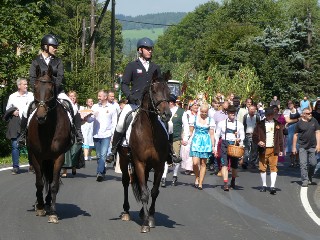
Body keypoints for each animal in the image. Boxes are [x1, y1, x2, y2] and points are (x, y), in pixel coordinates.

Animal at [27, 65, 71, 223]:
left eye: (51, 88)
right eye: (35, 87)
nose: (40, 116)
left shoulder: (58, 157)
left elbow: (54, 184)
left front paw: (52, 212)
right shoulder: (36, 156)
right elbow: (39, 182)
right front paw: (40, 207)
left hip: (50, 160)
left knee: (50, 178)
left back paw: (48, 202)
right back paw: (40, 203)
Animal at [118, 70, 172, 232]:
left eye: (169, 91)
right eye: (154, 91)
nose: (167, 114)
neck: (150, 131)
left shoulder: (159, 165)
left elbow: (153, 191)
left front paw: (151, 217)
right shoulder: (139, 163)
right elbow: (143, 193)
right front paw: (145, 224)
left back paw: (143, 213)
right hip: (124, 160)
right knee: (125, 181)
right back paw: (126, 211)